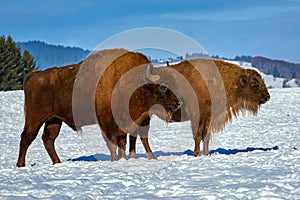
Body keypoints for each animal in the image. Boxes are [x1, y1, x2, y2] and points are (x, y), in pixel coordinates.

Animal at [17, 48, 180, 167]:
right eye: (163, 87)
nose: (177, 103)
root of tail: (34, 75)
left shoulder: (133, 120)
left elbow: (127, 140)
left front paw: (125, 158)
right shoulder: (107, 121)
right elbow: (113, 142)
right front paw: (115, 159)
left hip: (54, 120)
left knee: (48, 139)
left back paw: (57, 162)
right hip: (35, 118)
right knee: (27, 137)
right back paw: (21, 165)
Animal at [128, 57, 270, 158]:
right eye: (254, 83)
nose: (267, 96)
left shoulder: (208, 118)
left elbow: (205, 137)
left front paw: (206, 154)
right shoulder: (197, 117)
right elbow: (197, 136)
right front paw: (196, 154)